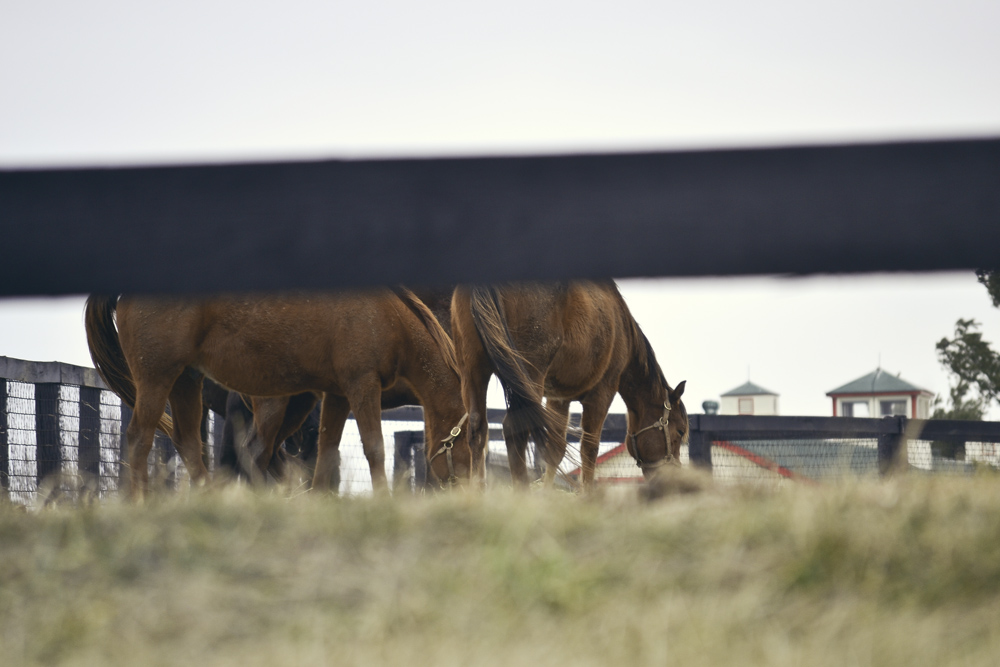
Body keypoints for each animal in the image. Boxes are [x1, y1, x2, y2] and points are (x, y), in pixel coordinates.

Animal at [85, 290, 468, 498]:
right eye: (465, 441)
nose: (470, 487)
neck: (386, 316)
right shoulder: (362, 386)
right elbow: (374, 448)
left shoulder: (337, 395)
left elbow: (326, 453)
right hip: (158, 379)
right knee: (140, 437)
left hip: (186, 382)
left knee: (191, 442)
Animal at [454, 282, 688, 490]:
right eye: (680, 430)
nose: (674, 476)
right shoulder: (601, 394)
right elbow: (589, 448)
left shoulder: (558, 399)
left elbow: (556, 450)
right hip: (529, 375)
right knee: (514, 429)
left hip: (473, 371)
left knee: (477, 428)